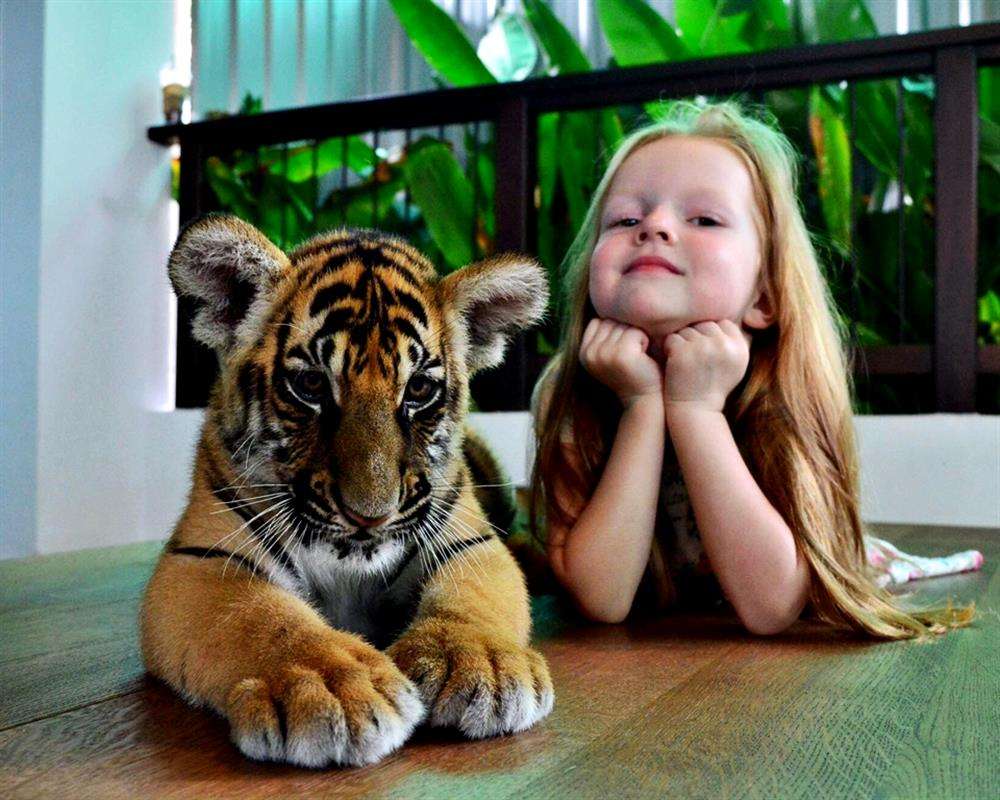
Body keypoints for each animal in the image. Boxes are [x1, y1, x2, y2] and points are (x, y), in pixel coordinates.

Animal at [140, 214, 553, 768]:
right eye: (312, 386)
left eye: (419, 390)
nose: (369, 516)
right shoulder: (203, 559)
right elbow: (263, 617)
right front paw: (331, 688)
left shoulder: (472, 542)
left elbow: (471, 596)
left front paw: (479, 663)